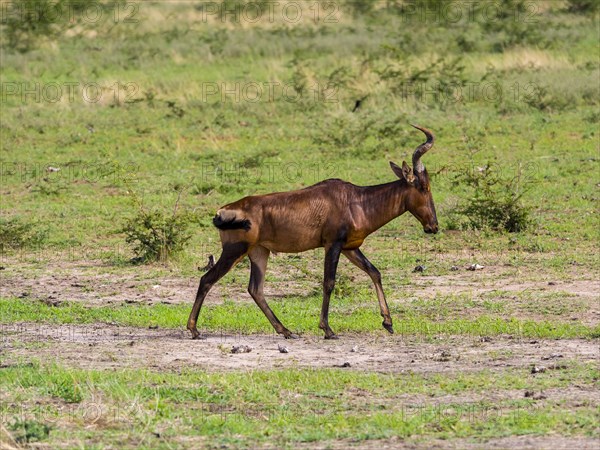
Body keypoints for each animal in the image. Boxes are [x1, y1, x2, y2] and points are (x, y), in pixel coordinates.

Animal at [190, 125, 438, 340]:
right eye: (424, 187)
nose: (433, 227)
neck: (356, 200)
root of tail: (222, 211)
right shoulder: (332, 245)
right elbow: (329, 282)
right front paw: (328, 329)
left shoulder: (350, 247)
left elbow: (374, 272)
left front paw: (388, 322)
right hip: (234, 251)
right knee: (207, 279)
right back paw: (194, 330)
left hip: (259, 252)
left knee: (255, 289)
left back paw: (286, 331)